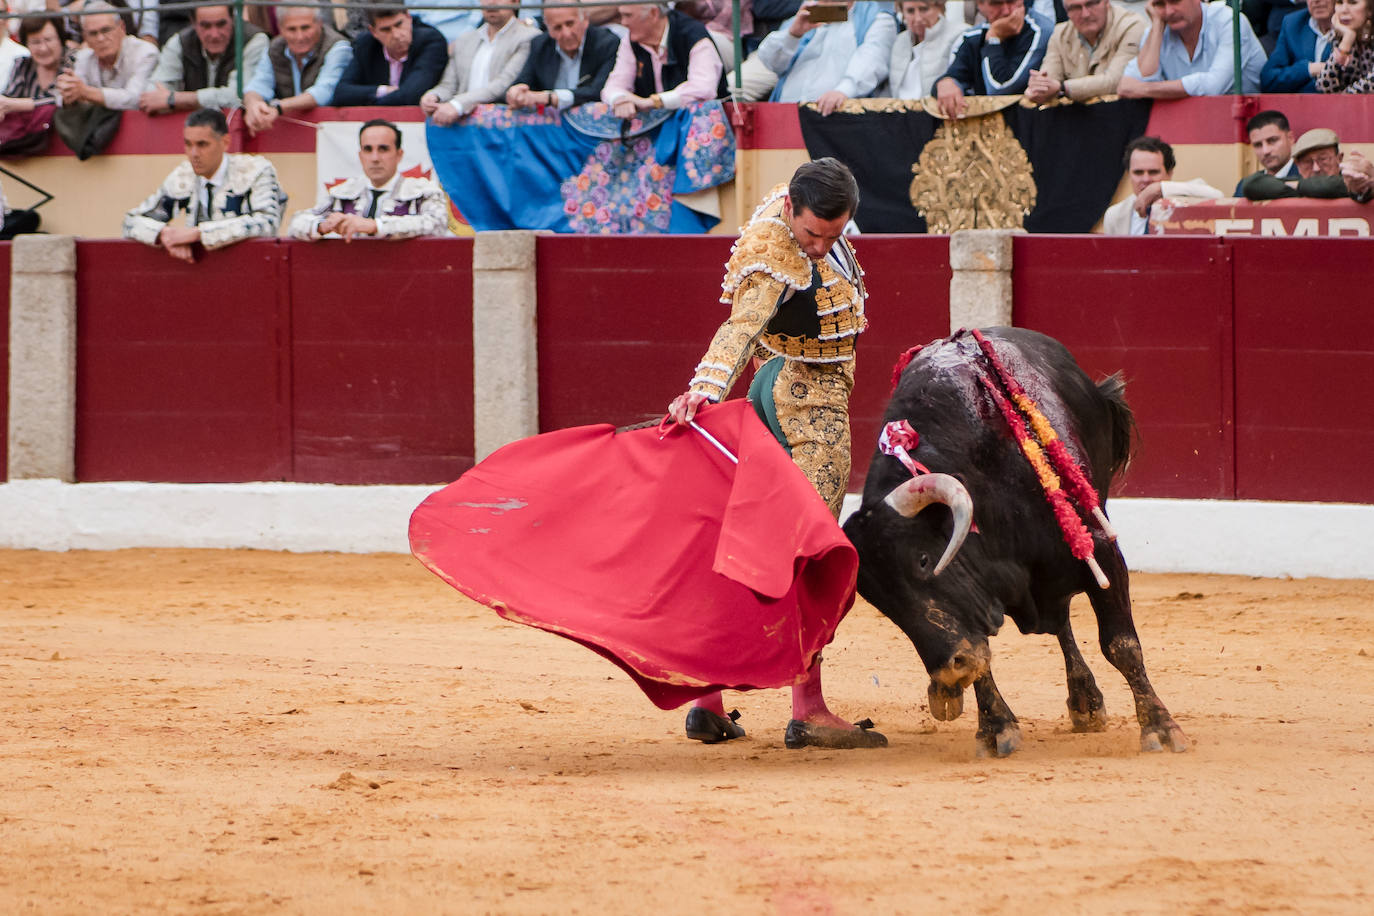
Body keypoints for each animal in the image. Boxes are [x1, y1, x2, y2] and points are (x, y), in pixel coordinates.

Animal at [840, 329, 1187, 758]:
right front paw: (995, 728)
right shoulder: (974, 606)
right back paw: (1083, 700)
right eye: (881, 604)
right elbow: (982, 658)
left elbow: (1120, 644)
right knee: (1059, 621)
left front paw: (1160, 727)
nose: (948, 672)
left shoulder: (1101, 549)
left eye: (922, 560)